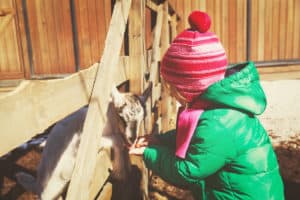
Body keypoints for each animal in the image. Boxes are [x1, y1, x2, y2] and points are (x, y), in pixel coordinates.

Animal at [15, 85, 151, 200]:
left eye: (142, 118)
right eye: (121, 117)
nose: (133, 139)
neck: (109, 119)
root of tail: (38, 186)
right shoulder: (84, 140)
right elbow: (118, 140)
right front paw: (120, 171)